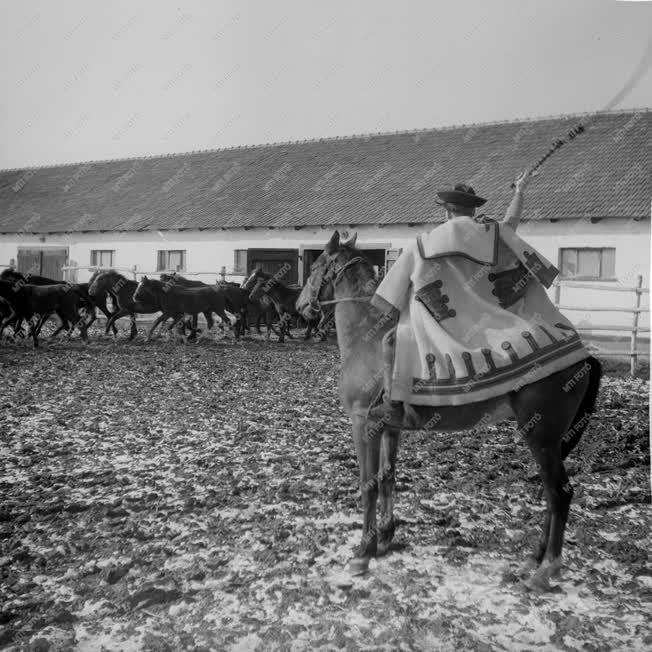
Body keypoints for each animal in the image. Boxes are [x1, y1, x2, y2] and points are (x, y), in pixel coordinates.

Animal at [296, 232, 600, 592]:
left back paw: (546, 569)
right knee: (552, 498)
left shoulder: (363, 423)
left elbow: (368, 484)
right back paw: (533, 559)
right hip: (550, 442)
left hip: (541, 438)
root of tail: (582, 355)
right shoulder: (390, 427)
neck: (367, 340)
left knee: (559, 494)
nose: (300, 305)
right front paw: (384, 538)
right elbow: (387, 477)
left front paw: (362, 552)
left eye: (316, 264)